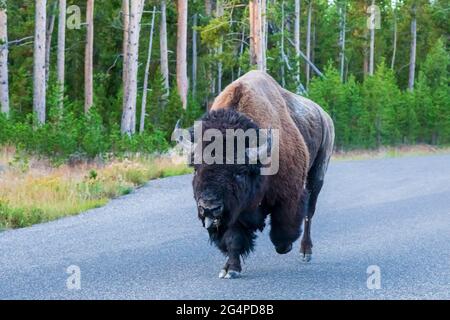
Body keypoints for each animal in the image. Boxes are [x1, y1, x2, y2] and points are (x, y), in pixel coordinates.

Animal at [176, 71, 334, 278]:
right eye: (196, 168)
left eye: (239, 172)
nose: (209, 207)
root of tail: (324, 115)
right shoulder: (234, 209)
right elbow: (234, 238)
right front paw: (230, 269)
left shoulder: (289, 196)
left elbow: (282, 230)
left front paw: (285, 246)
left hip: (317, 174)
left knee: (309, 212)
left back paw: (305, 252)